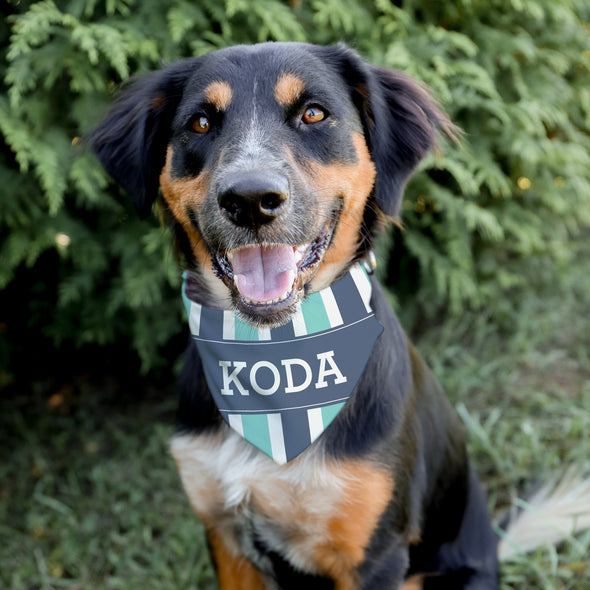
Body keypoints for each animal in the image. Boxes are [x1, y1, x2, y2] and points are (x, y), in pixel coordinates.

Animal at [91, 42, 504, 590]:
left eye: (313, 114)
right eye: (200, 122)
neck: (273, 354)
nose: (250, 200)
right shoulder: (226, 537)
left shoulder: (374, 553)